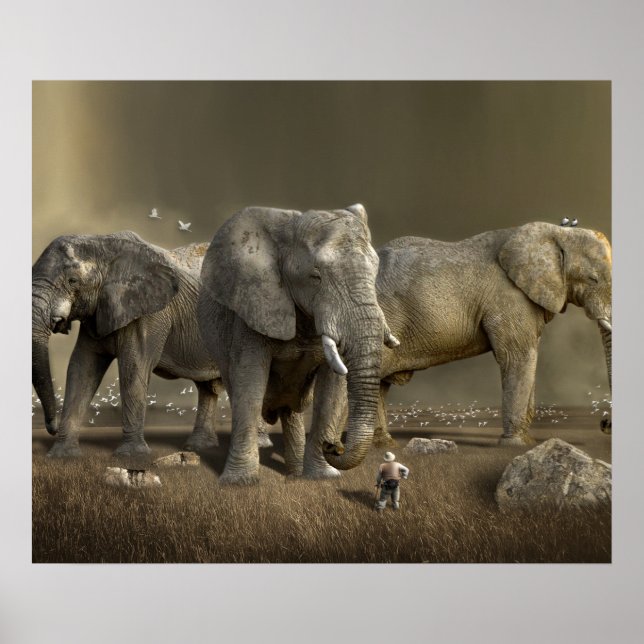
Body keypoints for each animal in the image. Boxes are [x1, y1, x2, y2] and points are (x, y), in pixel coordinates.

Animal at [32, 231, 224, 458]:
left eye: (73, 281)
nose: (51, 428)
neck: (101, 243)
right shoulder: (99, 311)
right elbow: (82, 367)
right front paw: (63, 455)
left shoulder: (150, 313)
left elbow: (134, 366)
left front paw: (132, 456)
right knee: (207, 387)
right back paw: (198, 447)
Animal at [196, 204, 399, 485]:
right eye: (316, 277)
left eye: (375, 272)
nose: (334, 446)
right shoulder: (253, 305)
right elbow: (249, 381)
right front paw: (239, 484)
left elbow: (332, 388)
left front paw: (323, 477)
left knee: (291, 410)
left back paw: (295, 473)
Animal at [303, 221, 612, 478]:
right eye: (593, 279)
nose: (604, 423)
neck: (555, 232)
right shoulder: (509, 299)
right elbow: (517, 357)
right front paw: (515, 445)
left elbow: (526, 357)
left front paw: (526, 441)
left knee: (379, 382)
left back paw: (380, 445)